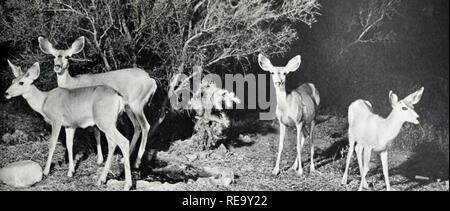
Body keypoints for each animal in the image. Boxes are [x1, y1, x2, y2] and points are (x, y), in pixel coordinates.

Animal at [4, 60, 132, 190]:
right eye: (12, 81)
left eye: (21, 82)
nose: (6, 93)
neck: (44, 101)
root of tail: (118, 97)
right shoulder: (69, 125)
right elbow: (69, 145)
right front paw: (70, 172)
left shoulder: (56, 120)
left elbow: (52, 143)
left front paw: (46, 171)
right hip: (110, 121)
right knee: (112, 144)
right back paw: (101, 179)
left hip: (104, 120)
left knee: (123, 141)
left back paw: (127, 184)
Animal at [39, 35, 158, 168]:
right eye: (53, 56)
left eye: (67, 56)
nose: (57, 66)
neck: (73, 83)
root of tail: (151, 81)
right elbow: (97, 133)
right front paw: (100, 159)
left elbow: (96, 133)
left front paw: (100, 159)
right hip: (128, 107)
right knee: (137, 126)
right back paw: (124, 159)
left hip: (137, 104)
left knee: (145, 125)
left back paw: (137, 161)